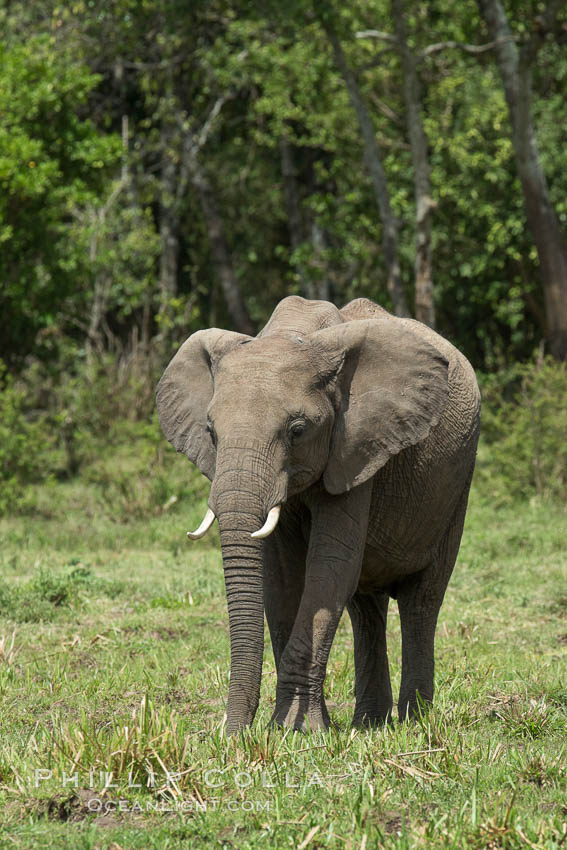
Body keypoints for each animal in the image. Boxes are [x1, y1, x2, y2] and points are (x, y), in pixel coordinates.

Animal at [158, 296, 482, 728]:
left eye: (297, 430)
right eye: (210, 431)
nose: (228, 733)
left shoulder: (355, 447)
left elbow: (329, 568)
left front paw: (299, 730)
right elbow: (281, 579)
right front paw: (285, 727)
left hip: (456, 486)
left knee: (422, 599)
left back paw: (415, 723)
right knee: (366, 606)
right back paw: (370, 724)